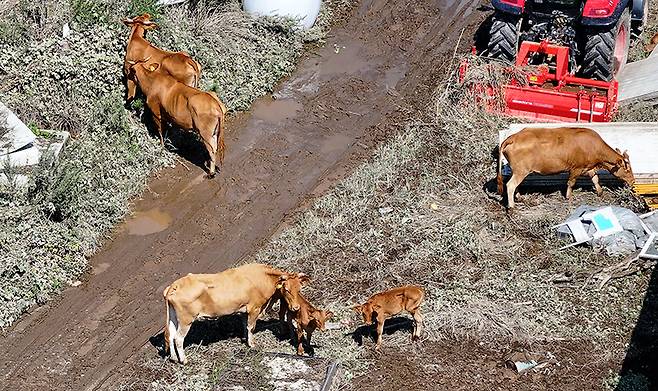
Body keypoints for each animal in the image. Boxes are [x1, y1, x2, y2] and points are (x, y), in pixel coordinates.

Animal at [498, 128, 632, 208]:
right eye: (627, 169)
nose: (632, 181)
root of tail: (513, 137)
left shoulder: (588, 167)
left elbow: (595, 179)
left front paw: (600, 192)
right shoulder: (576, 168)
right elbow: (571, 182)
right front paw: (568, 197)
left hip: (518, 171)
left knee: (514, 185)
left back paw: (519, 196)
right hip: (521, 171)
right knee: (510, 185)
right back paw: (511, 206)